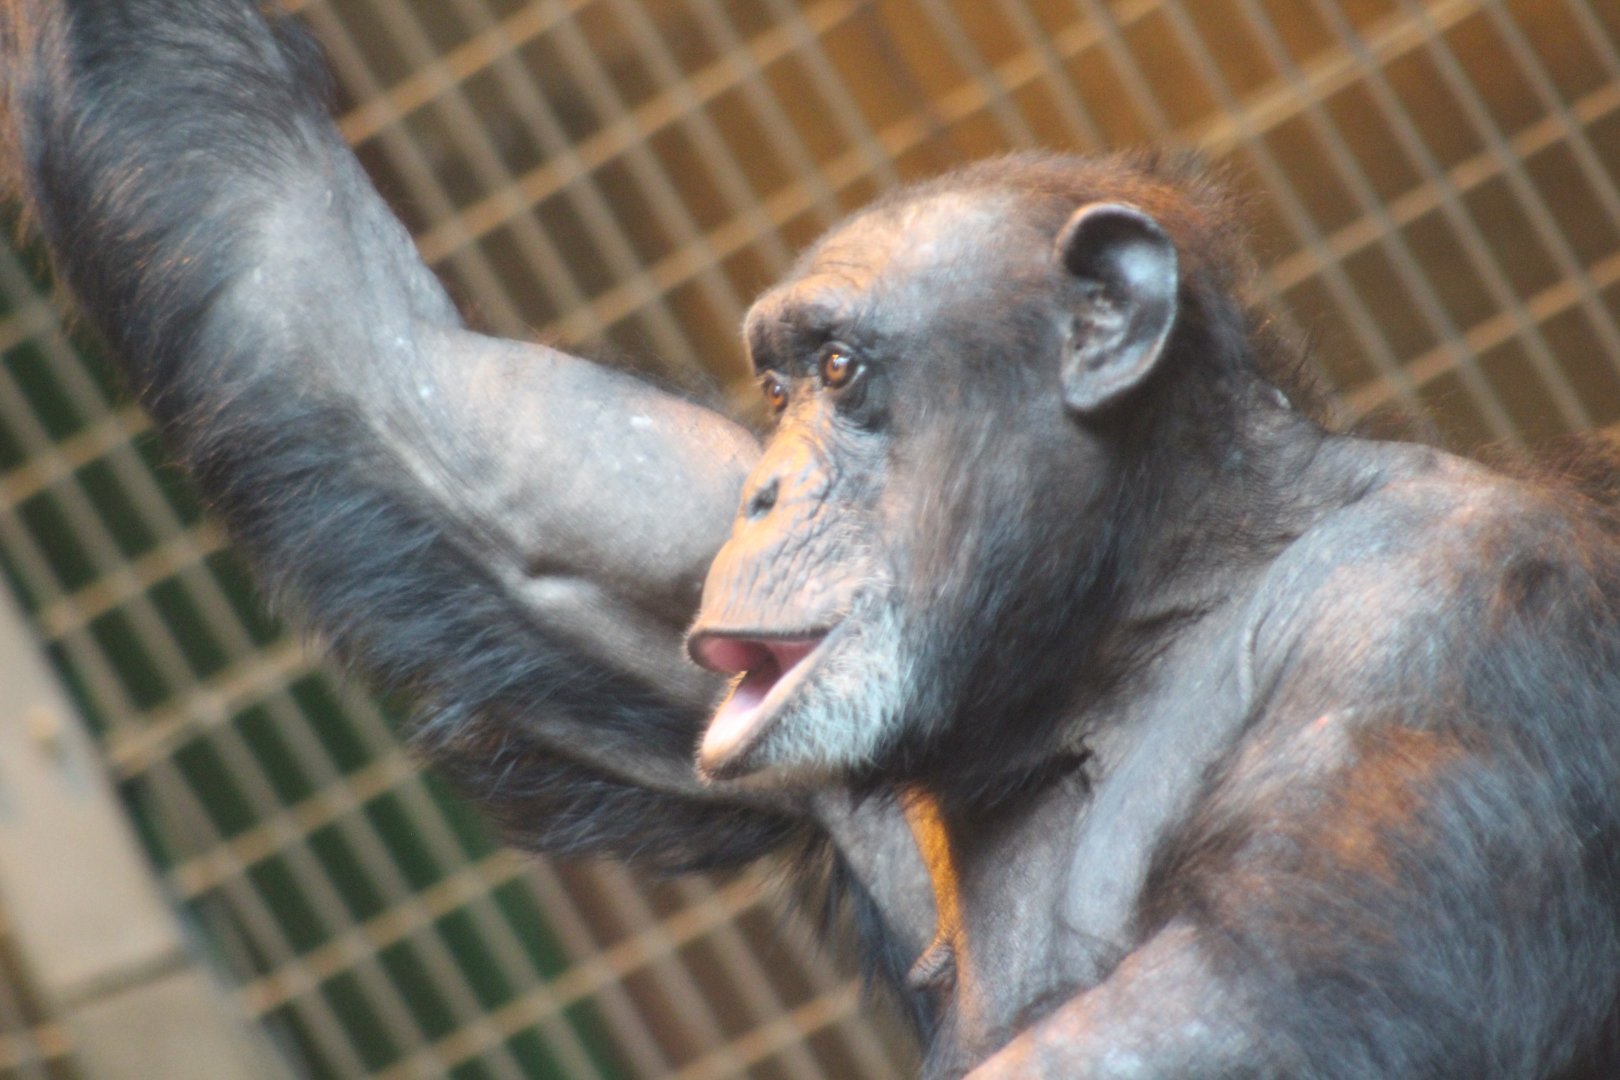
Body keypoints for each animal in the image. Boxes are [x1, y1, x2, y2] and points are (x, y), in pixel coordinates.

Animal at [7, 2, 1620, 1077]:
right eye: (775, 390)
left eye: (844, 371)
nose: (767, 494)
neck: (1134, 615)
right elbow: (353, 350)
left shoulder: (1438, 626)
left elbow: (1236, 1012)